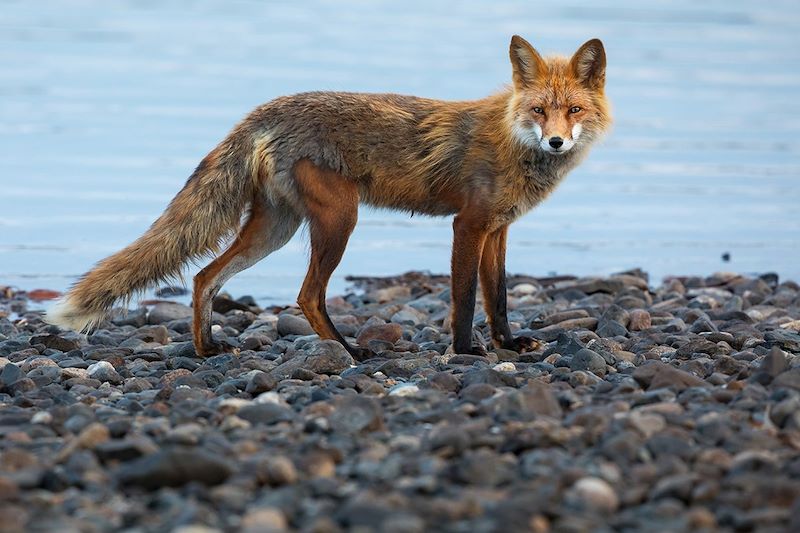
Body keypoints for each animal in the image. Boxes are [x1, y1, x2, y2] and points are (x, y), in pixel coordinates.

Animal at [48, 35, 612, 360]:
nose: (556, 142)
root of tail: (263, 111)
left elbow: (497, 298)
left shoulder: (498, 229)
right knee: (305, 296)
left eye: (574, 110)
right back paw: (348, 352)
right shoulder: (468, 225)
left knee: (206, 276)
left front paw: (508, 345)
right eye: (539, 110)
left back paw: (207, 348)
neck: (513, 143)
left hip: (276, 230)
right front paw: (465, 352)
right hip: (339, 220)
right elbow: (465, 298)